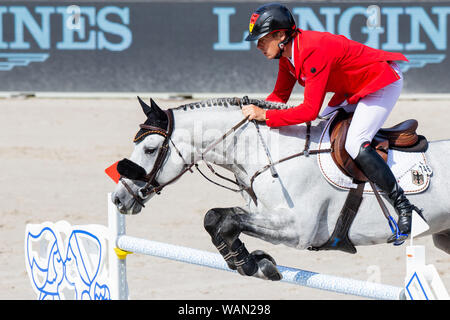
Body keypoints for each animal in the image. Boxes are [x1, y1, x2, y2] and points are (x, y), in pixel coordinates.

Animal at [110, 97, 450, 280]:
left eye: (150, 149)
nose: (119, 197)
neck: (268, 152)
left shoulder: (300, 230)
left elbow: (226, 220)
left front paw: (252, 263)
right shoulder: (263, 214)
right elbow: (216, 218)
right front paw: (249, 260)